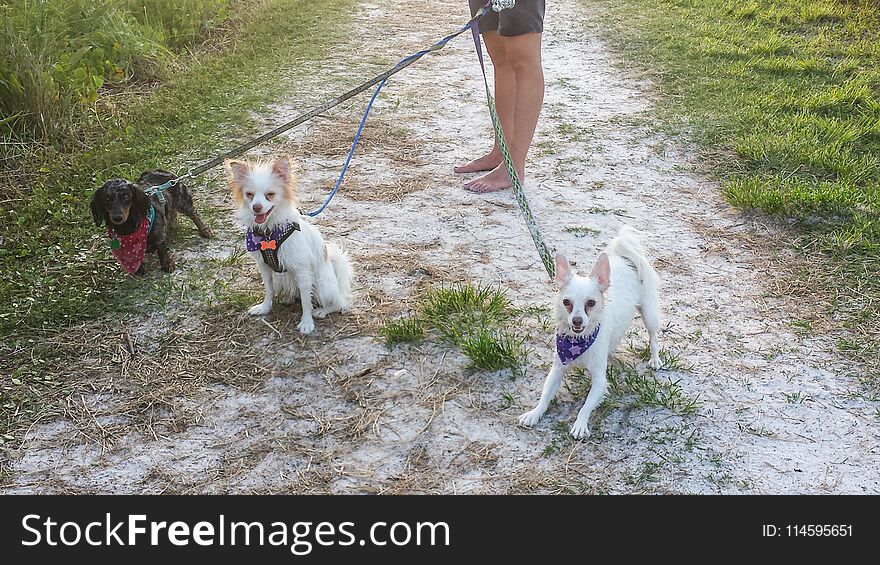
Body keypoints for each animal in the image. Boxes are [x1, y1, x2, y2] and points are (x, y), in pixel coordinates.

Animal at [227, 158, 354, 334]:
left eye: (270, 195)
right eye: (249, 195)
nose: (256, 207)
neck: (269, 231)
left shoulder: (302, 270)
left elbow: (306, 301)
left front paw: (307, 323)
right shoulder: (264, 266)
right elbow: (269, 289)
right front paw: (265, 308)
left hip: (323, 285)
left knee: (339, 302)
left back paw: (322, 311)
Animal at [516, 227, 660, 438]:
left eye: (591, 303)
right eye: (566, 302)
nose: (577, 320)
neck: (578, 341)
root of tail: (625, 259)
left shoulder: (600, 381)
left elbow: (586, 405)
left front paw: (580, 424)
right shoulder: (557, 370)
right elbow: (545, 395)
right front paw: (534, 413)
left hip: (649, 314)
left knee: (653, 336)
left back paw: (655, 359)